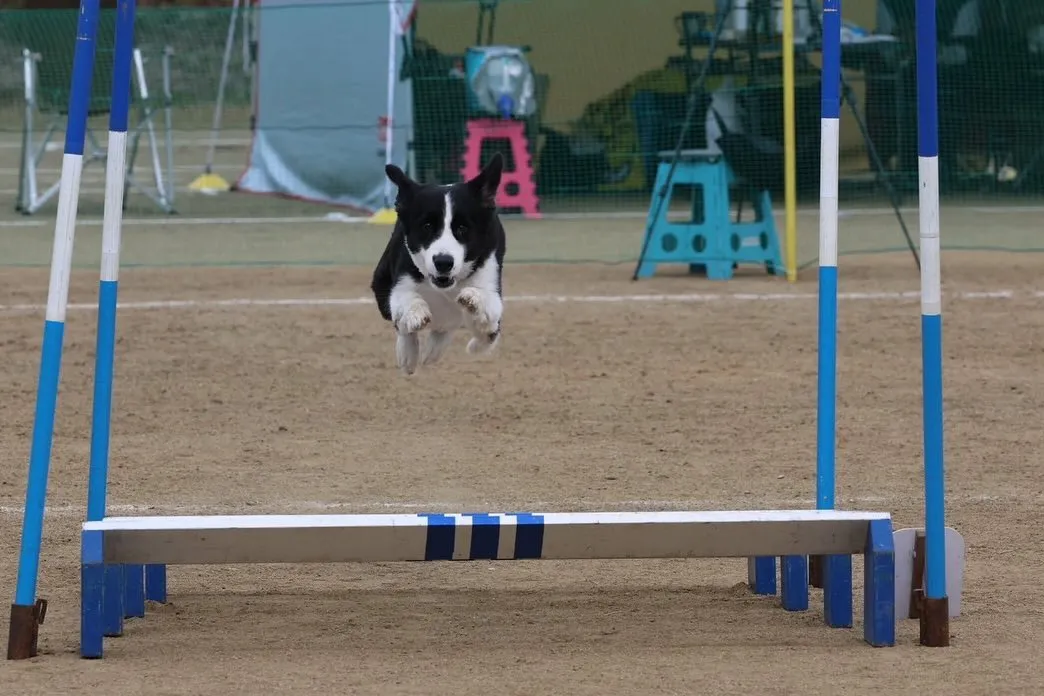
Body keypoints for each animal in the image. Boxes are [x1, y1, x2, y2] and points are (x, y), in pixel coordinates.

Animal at [373, 153, 507, 375]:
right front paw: (416, 315)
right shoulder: (399, 281)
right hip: (380, 279)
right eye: (427, 226)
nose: (443, 262)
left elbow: (488, 317)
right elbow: (404, 303)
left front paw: (473, 299)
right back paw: (410, 355)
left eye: (462, 228)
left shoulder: (490, 280)